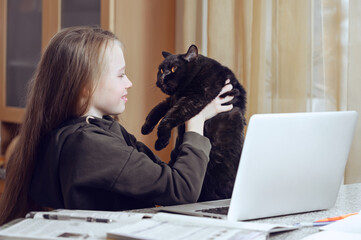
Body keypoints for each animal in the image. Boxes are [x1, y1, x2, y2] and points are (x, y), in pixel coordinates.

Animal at [142, 44, 246, 201]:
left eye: (174, 69)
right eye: (160, 70)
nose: (163, 77)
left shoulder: (194, 99)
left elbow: (168, 118)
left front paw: (161, 141)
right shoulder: (173, 99)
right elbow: (156, 110)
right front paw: (146, 128)